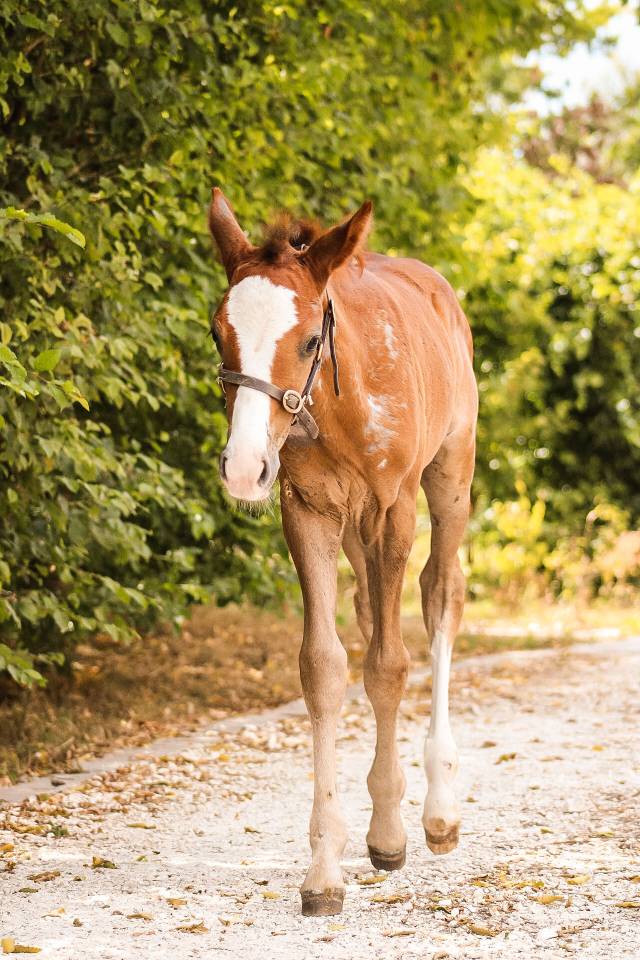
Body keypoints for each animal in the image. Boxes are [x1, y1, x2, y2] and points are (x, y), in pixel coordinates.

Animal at [207, 188, 478, 917]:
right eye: (218, 333)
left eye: (307, 339)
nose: (244, 468)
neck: (342, 399)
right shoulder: (307, 510)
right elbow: (324, 667)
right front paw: (326, 867)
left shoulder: (394, 510)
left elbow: (389, 663)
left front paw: (388, 832)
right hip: (356, 533)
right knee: (366, 611)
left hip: (451, 476)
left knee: (441, 595)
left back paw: (439, 810)